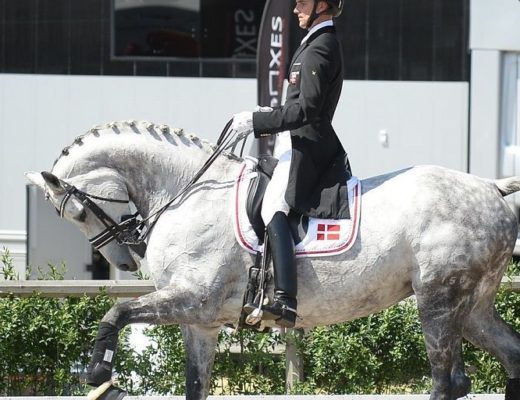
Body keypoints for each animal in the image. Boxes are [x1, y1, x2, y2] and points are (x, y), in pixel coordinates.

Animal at [26, 121, 520, 400]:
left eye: (76, 213)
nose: (125, 260)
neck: (188, 189)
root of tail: (491, 187)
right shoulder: (199, 321)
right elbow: (195, 386)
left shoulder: (192, 299)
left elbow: (116, 311)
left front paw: (100, 375)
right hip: (471, 308)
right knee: (510, 357)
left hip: (437, 300)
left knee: (447, 382)